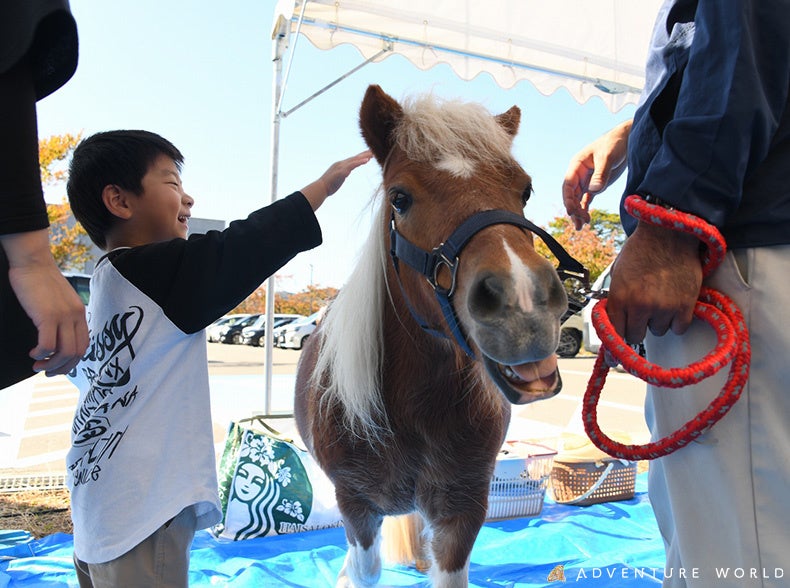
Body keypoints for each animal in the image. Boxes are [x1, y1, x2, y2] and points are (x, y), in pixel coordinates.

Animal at [294, 84, 570, 587]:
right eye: (400, 198)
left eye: (525, 189)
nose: (524, 302)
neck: (412, 409)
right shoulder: (356, 506)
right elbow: (364, 567)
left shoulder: (461, 510)